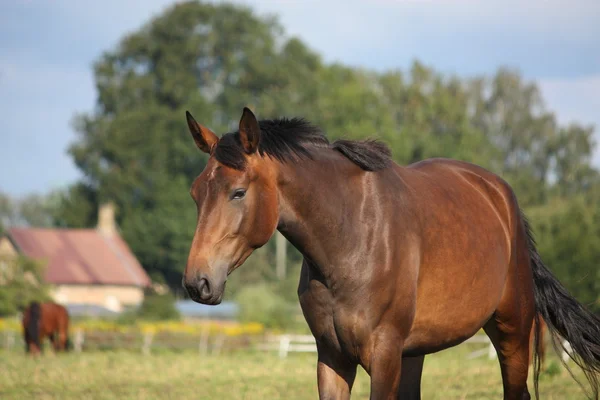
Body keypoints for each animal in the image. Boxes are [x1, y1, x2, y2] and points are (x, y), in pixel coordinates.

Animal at [180, 107, 600, 400]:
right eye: (196, 193)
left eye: (238, 192)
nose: (198, 282)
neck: (349, 240)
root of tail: (499, 194)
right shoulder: (332, 357)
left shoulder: (382, 357)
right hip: (415, 351)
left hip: (512, 331)